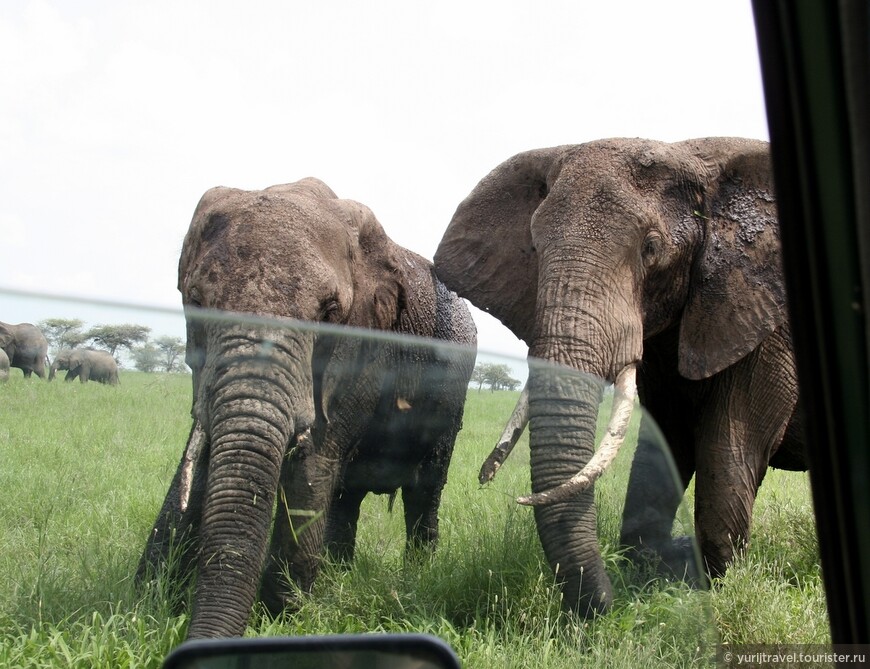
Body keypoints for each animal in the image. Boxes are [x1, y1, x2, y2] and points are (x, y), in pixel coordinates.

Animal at [436, 138, 812, 620]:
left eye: (651, 248)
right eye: (533, 249)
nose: (605, 608)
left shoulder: (766, 321)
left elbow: (731, 443)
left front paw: (713, 585)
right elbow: (664, 440)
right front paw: (650, 573)